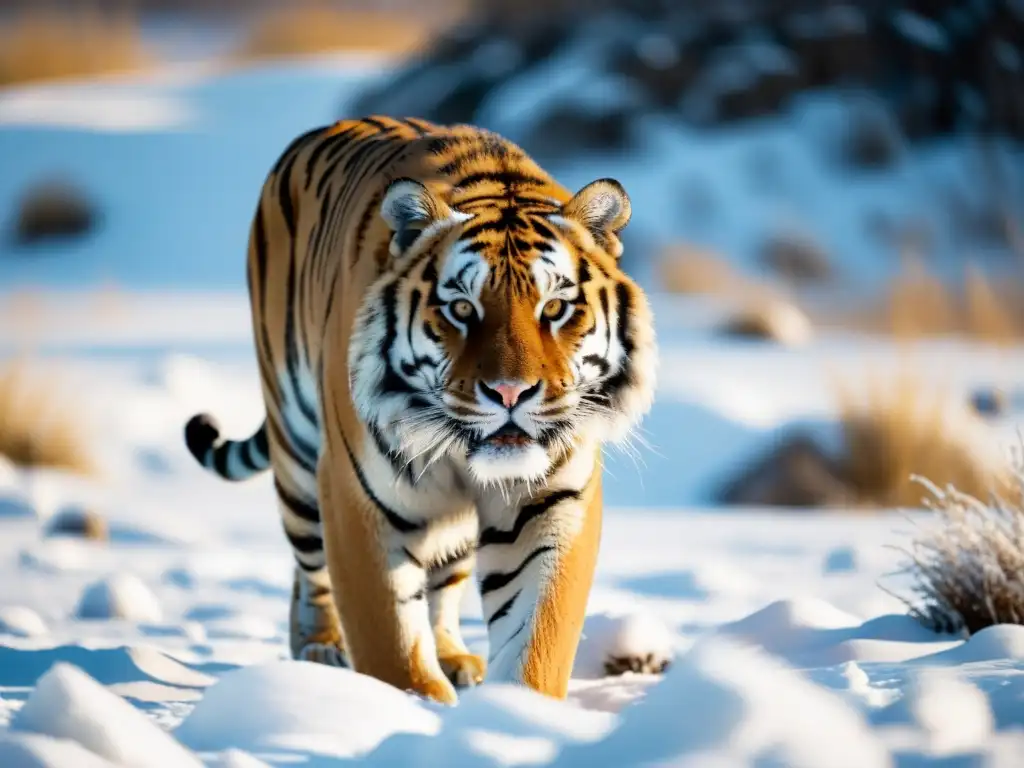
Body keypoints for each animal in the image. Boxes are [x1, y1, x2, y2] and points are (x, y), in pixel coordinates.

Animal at [183, 117, 655, 708]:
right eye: (461, 309)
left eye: (554, 308)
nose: (510, 393)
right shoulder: (358, 495)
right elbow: (388, 639)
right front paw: (410, 707)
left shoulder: (552, 499)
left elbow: (538, 635)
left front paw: (516, 711)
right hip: (297, 453)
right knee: (309, 570)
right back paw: (319, 649)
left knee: (443, 581)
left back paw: (454, 657)